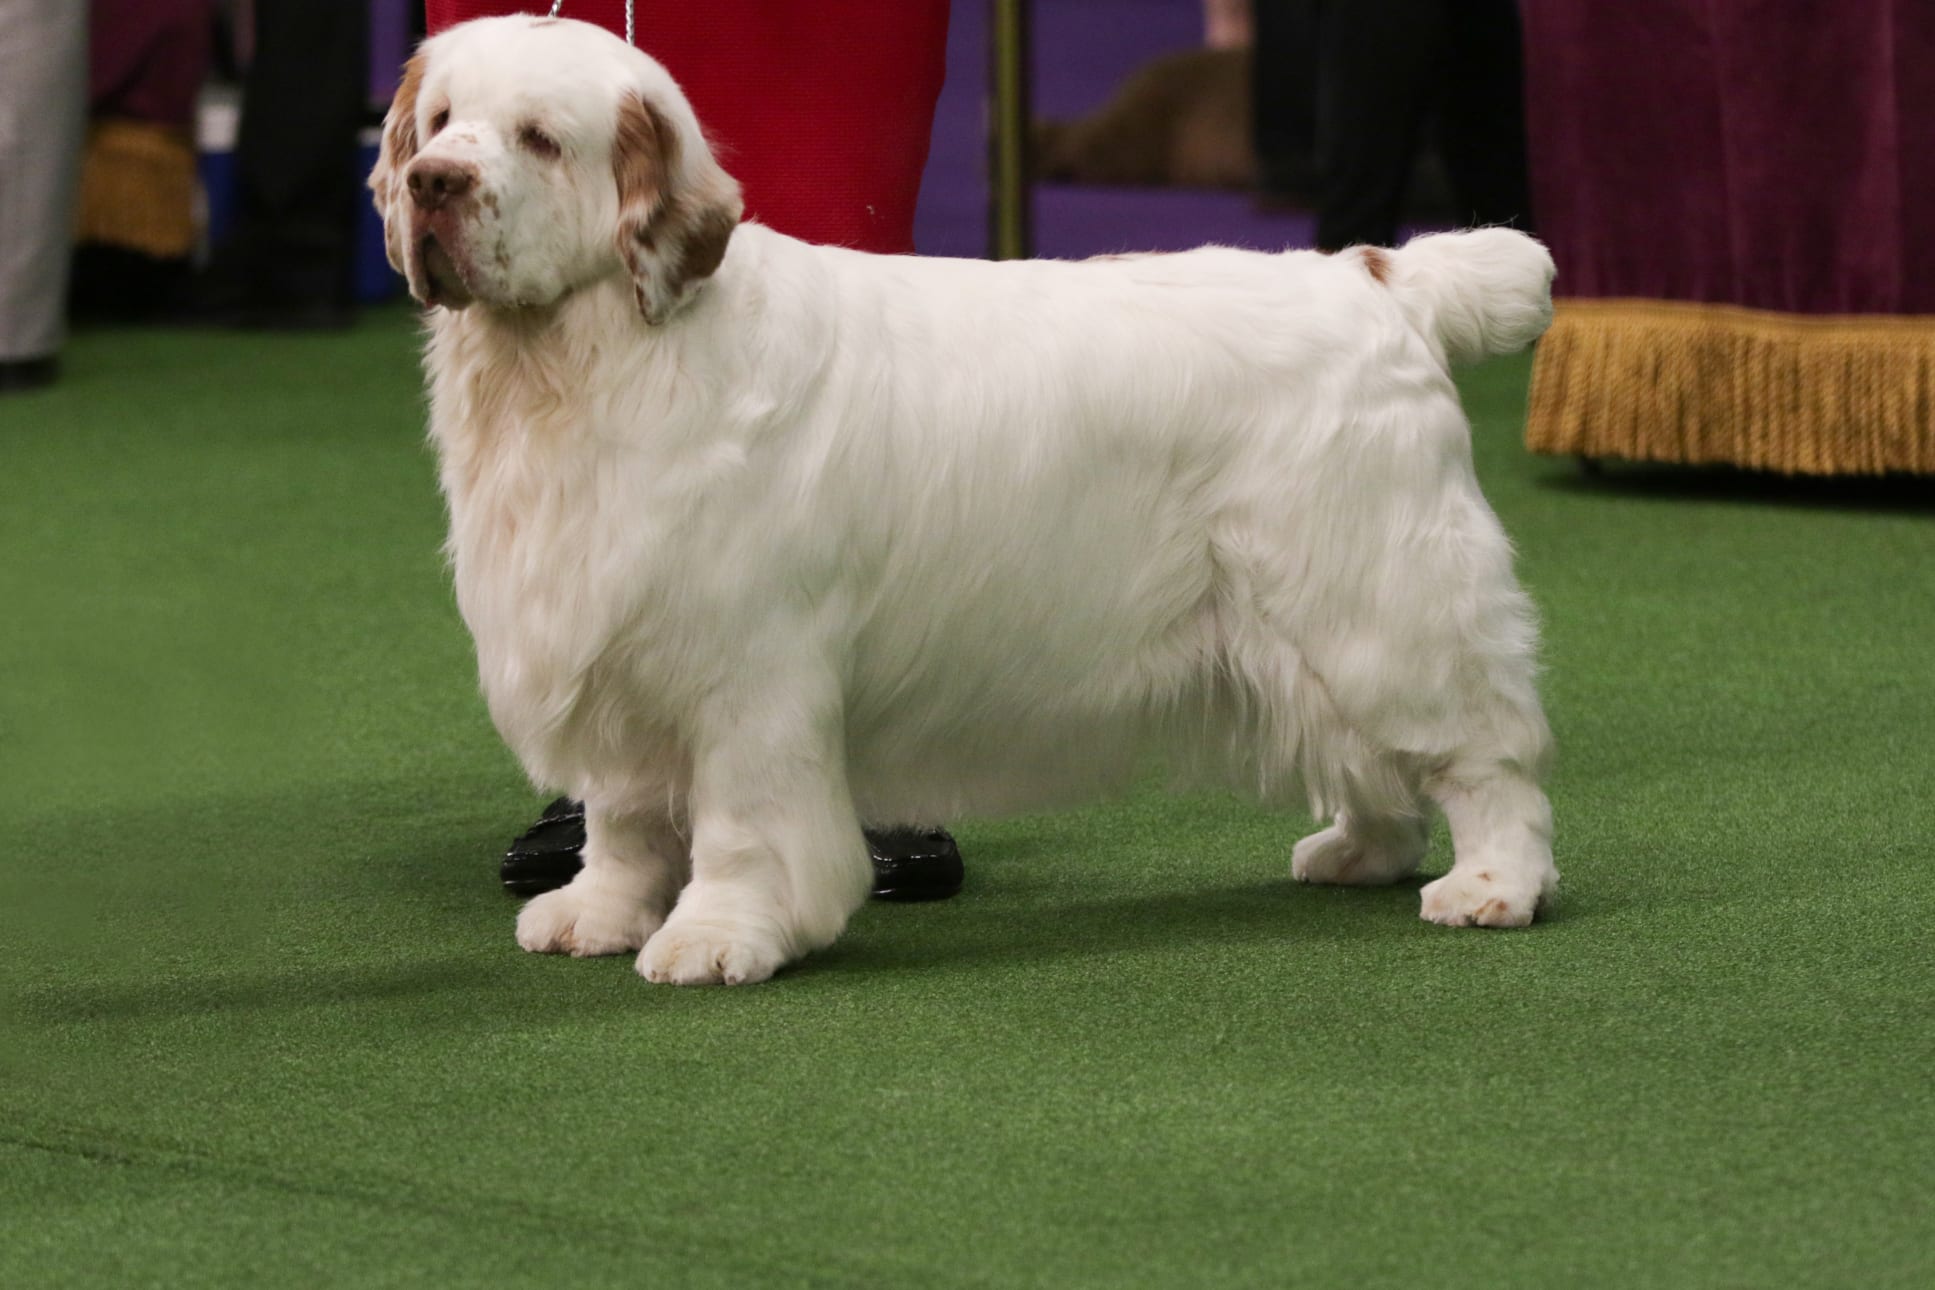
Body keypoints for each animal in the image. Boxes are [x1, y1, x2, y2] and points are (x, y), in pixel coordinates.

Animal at [373, 15, 1555, 990]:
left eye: (538, 138)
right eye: (437, 123)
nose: (431, 183)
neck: (590, 358)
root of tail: (1381, 279)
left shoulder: (746, 667)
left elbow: (742, 824)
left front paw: (718, 936)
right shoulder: (614, 629)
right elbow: (620, 816)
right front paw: (600, 911)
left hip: (1380, 595)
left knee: (1484, 752)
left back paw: (1493, 885)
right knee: (1368, 752)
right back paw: (1363, 853)